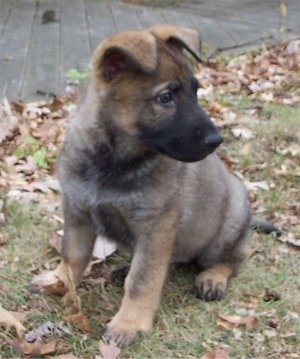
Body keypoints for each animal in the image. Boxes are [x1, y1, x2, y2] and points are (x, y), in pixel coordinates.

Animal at [55, 24, 250, 346]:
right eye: (166, 97)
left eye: (195, 91)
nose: (216, 140)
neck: (113, 161)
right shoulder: (77, 213)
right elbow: (72, 255)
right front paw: (58, 280)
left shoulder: (156, 228)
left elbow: (142, 279)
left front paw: (129, 323)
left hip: (229, 223)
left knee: (233, 259)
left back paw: (213, 278)